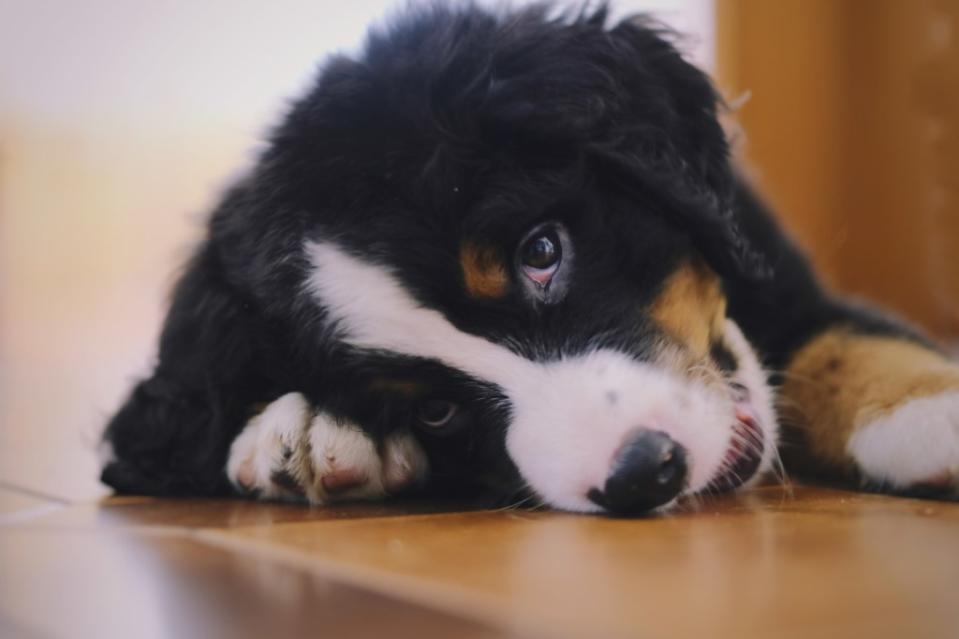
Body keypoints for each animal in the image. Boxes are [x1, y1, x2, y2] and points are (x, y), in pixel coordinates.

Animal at [99, 1, 959, 516]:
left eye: (541, 251)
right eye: (432, 409)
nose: (643, 471)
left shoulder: (784, 279)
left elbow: (848, 348)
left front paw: (932, 412)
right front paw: (305, 425)